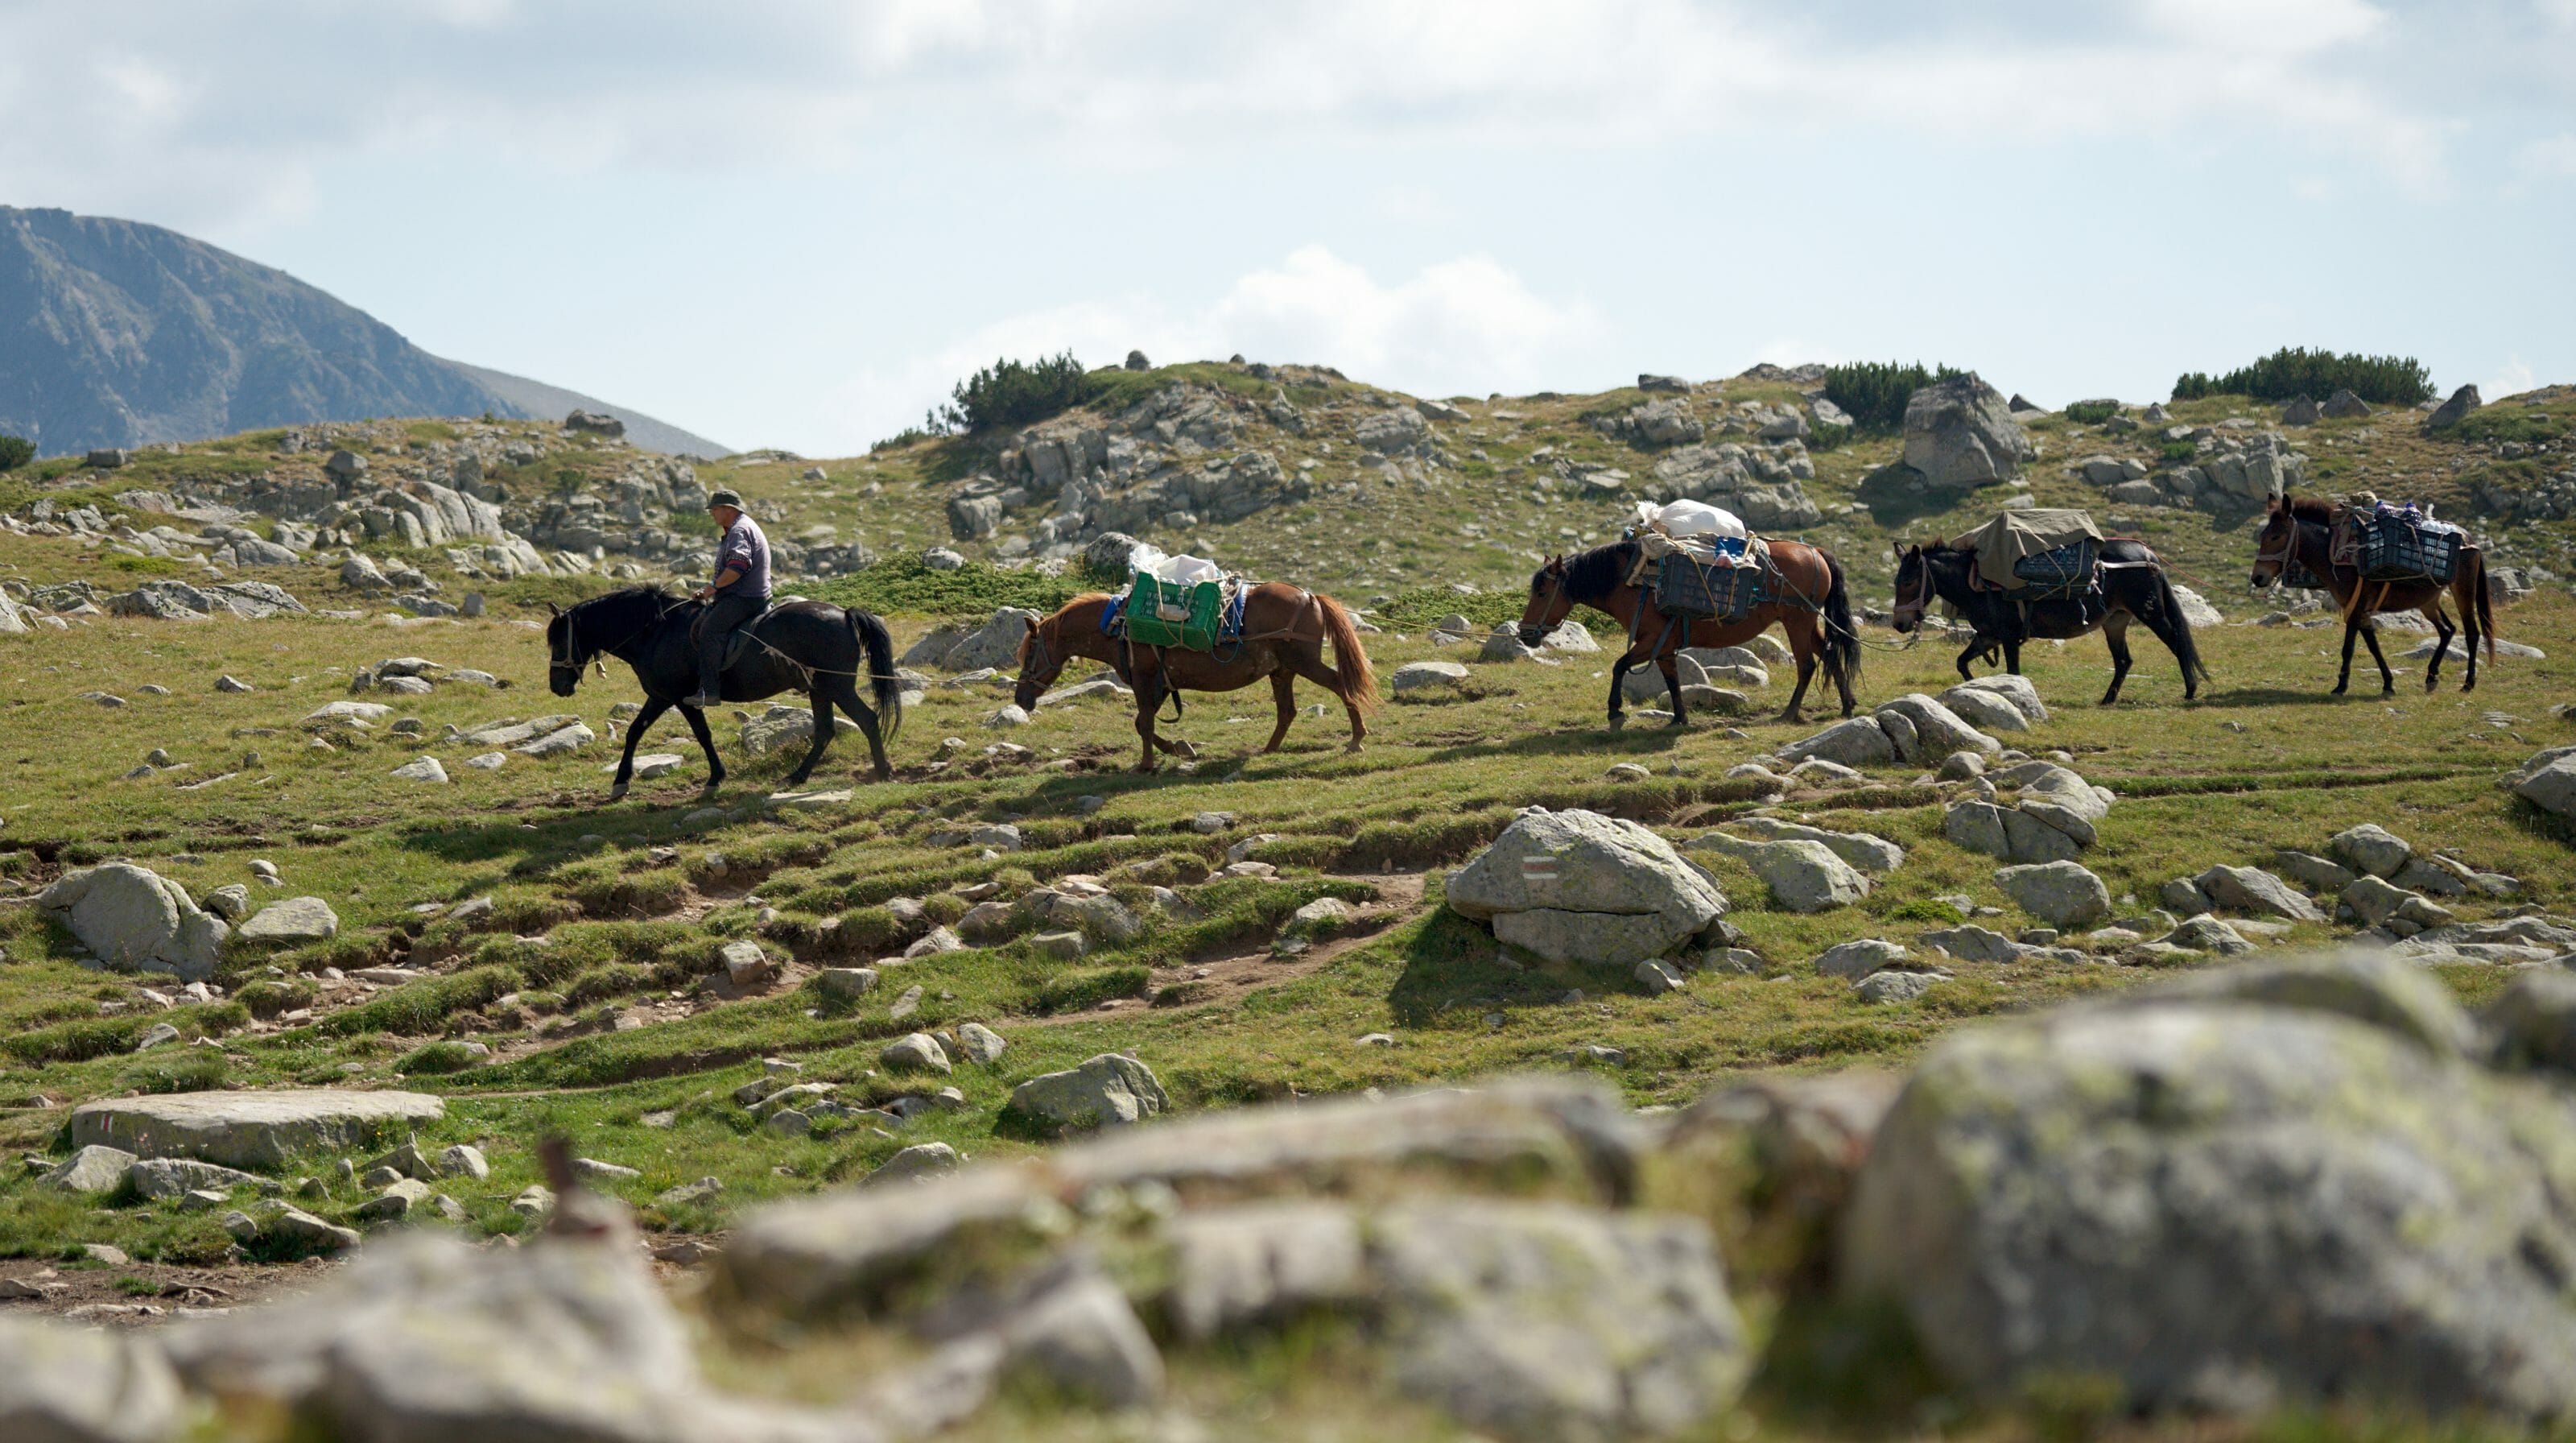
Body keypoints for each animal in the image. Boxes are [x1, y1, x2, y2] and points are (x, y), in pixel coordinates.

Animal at [543, 587, 906, 799]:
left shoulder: (677, 697)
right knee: (825, 730)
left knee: (867, 719)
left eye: (559, 640)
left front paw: (715, 779)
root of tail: (844, 614)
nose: (556, 687)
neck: (655, 631)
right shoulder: (660, 696)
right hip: (819, 689)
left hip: (836, 686)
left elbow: (701, 735)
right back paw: (797, 777)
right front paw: (621, 781)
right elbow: (635, 732)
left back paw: (881, 770)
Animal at [1885, 510, 2205, 705]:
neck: (1977, 581)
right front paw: (1975, 689)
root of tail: (2148, 554)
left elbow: (2013, 673)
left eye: (1910, 581)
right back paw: (2107, 699)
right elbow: (1962, 663)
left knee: (2176, 641)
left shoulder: (2009, 637)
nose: (1900, 624)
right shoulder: (1989, 636)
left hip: (2150, 612)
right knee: (2124, 660)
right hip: (2115, 621)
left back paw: (2190, 690)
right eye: (1897, 581)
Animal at [2256, 492, 2493, 696]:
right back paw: (2431, 676)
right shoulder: (2359, 609)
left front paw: (2341, 686)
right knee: (2447, 630)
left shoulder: (2357, 608)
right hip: (2428, 601)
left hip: (2463, 590)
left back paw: (2468, 683)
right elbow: (2373, 646)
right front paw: (2388, 683)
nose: (2257, 577)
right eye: (2262, 536)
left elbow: (2349, 648)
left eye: (2276, 536)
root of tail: (2468, 538)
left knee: (2472, 633)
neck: (2336, 555)